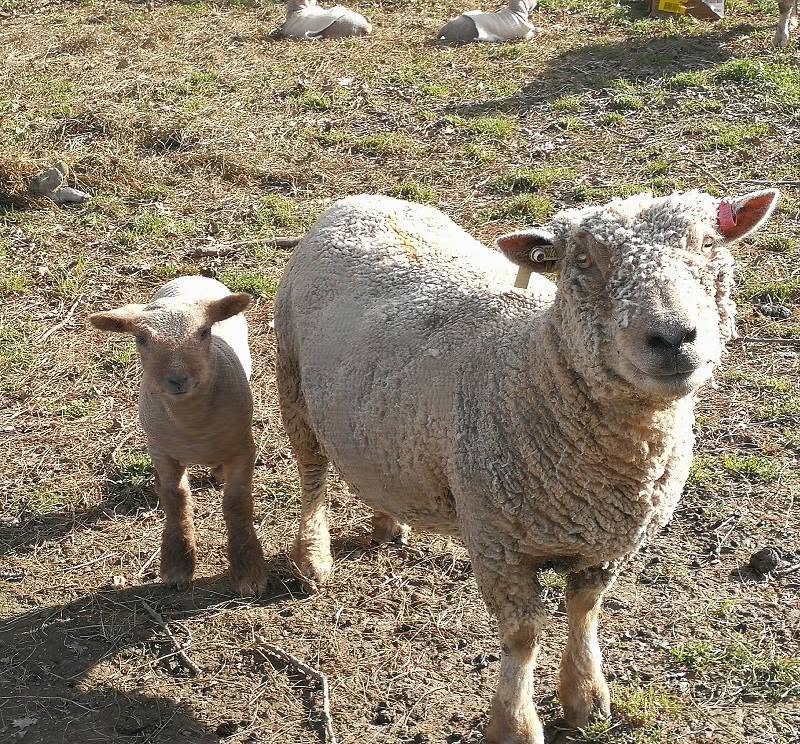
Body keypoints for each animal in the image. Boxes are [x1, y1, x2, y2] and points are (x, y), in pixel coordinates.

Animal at [89, 276, 267, 596]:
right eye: (141, 339)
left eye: (204, 331)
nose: (177, 379)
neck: (192, 425)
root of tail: (191, 278)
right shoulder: (162, 451)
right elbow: (176, 498)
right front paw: (177, 565)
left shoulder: (243, 449)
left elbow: (236, 502)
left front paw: (248, 571)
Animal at [273, 189, 779, 742]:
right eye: (584, 260)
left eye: (709, 244)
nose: (672, 338)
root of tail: (360, 200)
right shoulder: (498, 543)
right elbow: (522, 635)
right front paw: (515, 724)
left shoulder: (606, 543)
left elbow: (585, 609)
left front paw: (585, 697)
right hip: (291, 379)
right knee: (312, 474)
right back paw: (311, 557)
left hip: (380, 428)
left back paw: (388, 523)